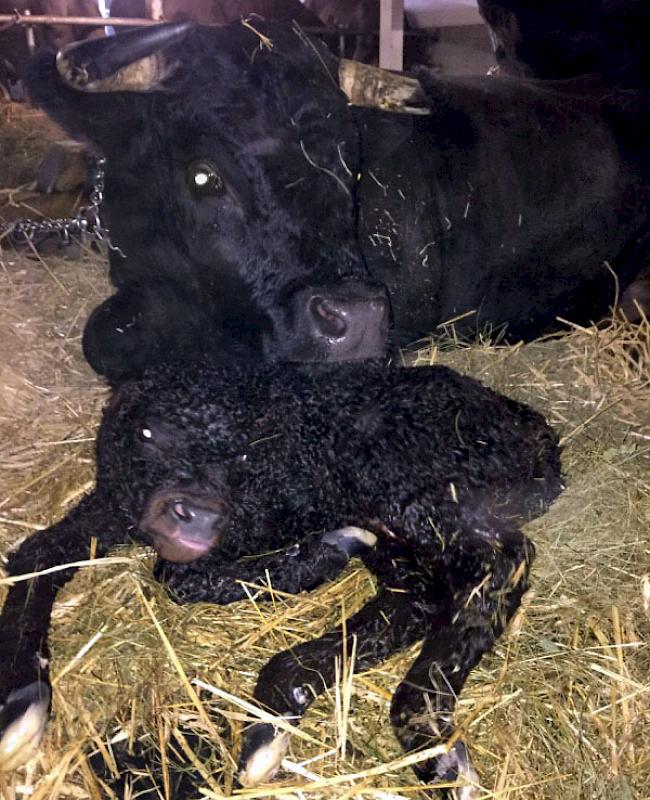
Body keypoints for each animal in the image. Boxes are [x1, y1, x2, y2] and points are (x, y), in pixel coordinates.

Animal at [0, 360, 560, 796]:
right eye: (148, 434)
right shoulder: (113, 502)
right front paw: (19, 701)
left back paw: (425, 733)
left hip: (412, 482)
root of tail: (535, 431)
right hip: (387, 508)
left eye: (245, 455)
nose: (197, 515)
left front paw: (315, 556)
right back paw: (282, 704)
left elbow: (175, 575)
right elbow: (37, 554)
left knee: (500, 558)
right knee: (415, 595)